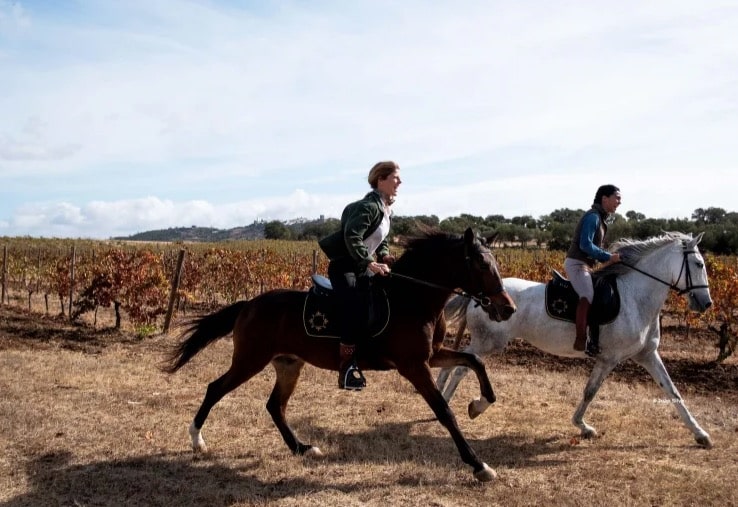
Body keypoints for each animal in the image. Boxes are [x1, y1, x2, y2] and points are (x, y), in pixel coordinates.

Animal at [164, 230, 516, 484]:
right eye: (481, 265)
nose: (507, 308)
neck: (413, 300)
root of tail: (248, 304)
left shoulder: (432, 356)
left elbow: (474, 361)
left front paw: (479, 405)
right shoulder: (414, 366)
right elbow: (444, 412)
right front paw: (479, 465)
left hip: (288, 364)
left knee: (275, 406)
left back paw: (302, 448)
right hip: (250, 360)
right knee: (216, 389)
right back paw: (197, 440)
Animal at [434, 232, 712, 446]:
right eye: (699, 264)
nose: (706, 303)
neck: (636, 297)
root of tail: (480, 296)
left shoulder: (647, 355)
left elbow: (673, 391)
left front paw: (701, 435)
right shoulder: (609, 359)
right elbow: (590, 391)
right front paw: (583, 426)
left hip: (484, 342)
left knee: (454, 363)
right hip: (489, 342)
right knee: (461, 368)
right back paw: (465, 405)